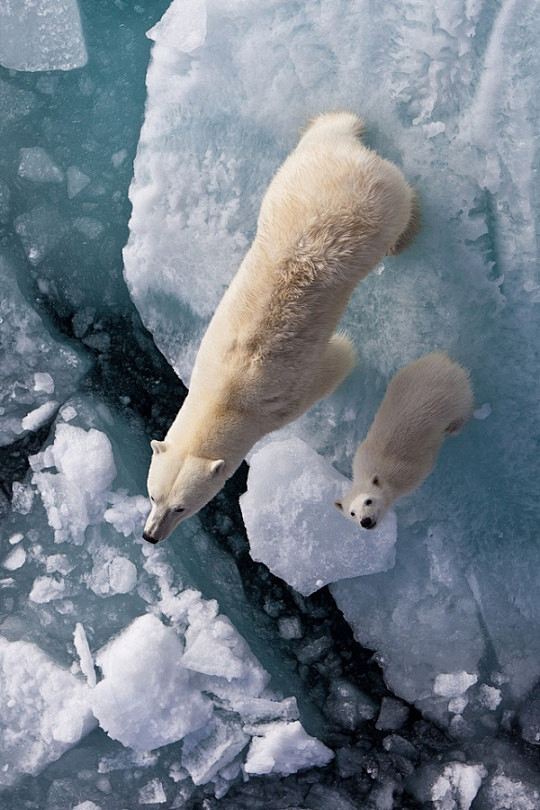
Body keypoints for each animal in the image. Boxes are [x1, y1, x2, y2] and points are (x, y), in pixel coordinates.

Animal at [142, 112, 418, 544]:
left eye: (182, 507)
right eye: (154, 494)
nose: (150, 535)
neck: (226, 393)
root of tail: (350, 160)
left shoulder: (284, 395)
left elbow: (337, 361)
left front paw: (345, 351)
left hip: (378, 210)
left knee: (401, 210)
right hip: (291, 177)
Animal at [334, 350, 472, 528]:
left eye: (368, 501)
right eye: (352, 513)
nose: (365, 521)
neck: (372, 468)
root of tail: (442, 359)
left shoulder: (412, 471)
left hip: (455, 393)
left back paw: (454, 428)